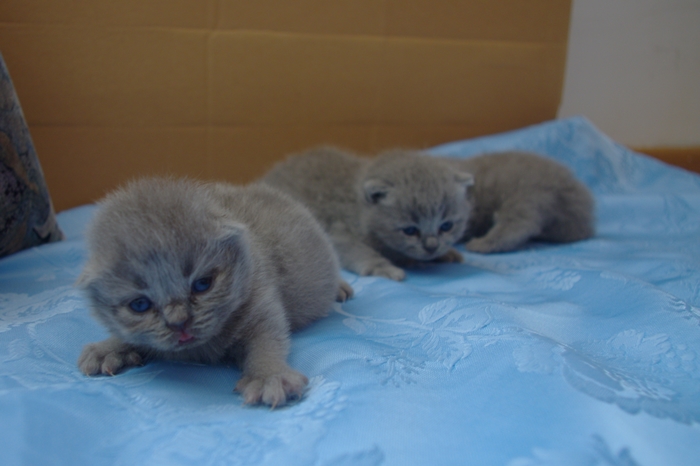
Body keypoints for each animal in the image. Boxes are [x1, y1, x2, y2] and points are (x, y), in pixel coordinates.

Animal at [77, 177, 352, 408]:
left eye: (202, 284)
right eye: (140, 305)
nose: (179, 323)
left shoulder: (262, 301)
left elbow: (267, 342)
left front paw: (269, 376)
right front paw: (109, 348)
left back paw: (341, 287)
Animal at [260, 146, 475, 281]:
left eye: (446, 226)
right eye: (410, 230)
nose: (432, 247)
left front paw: (447, 253)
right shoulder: (338, 231)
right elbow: (360, 251)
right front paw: (383, 267)